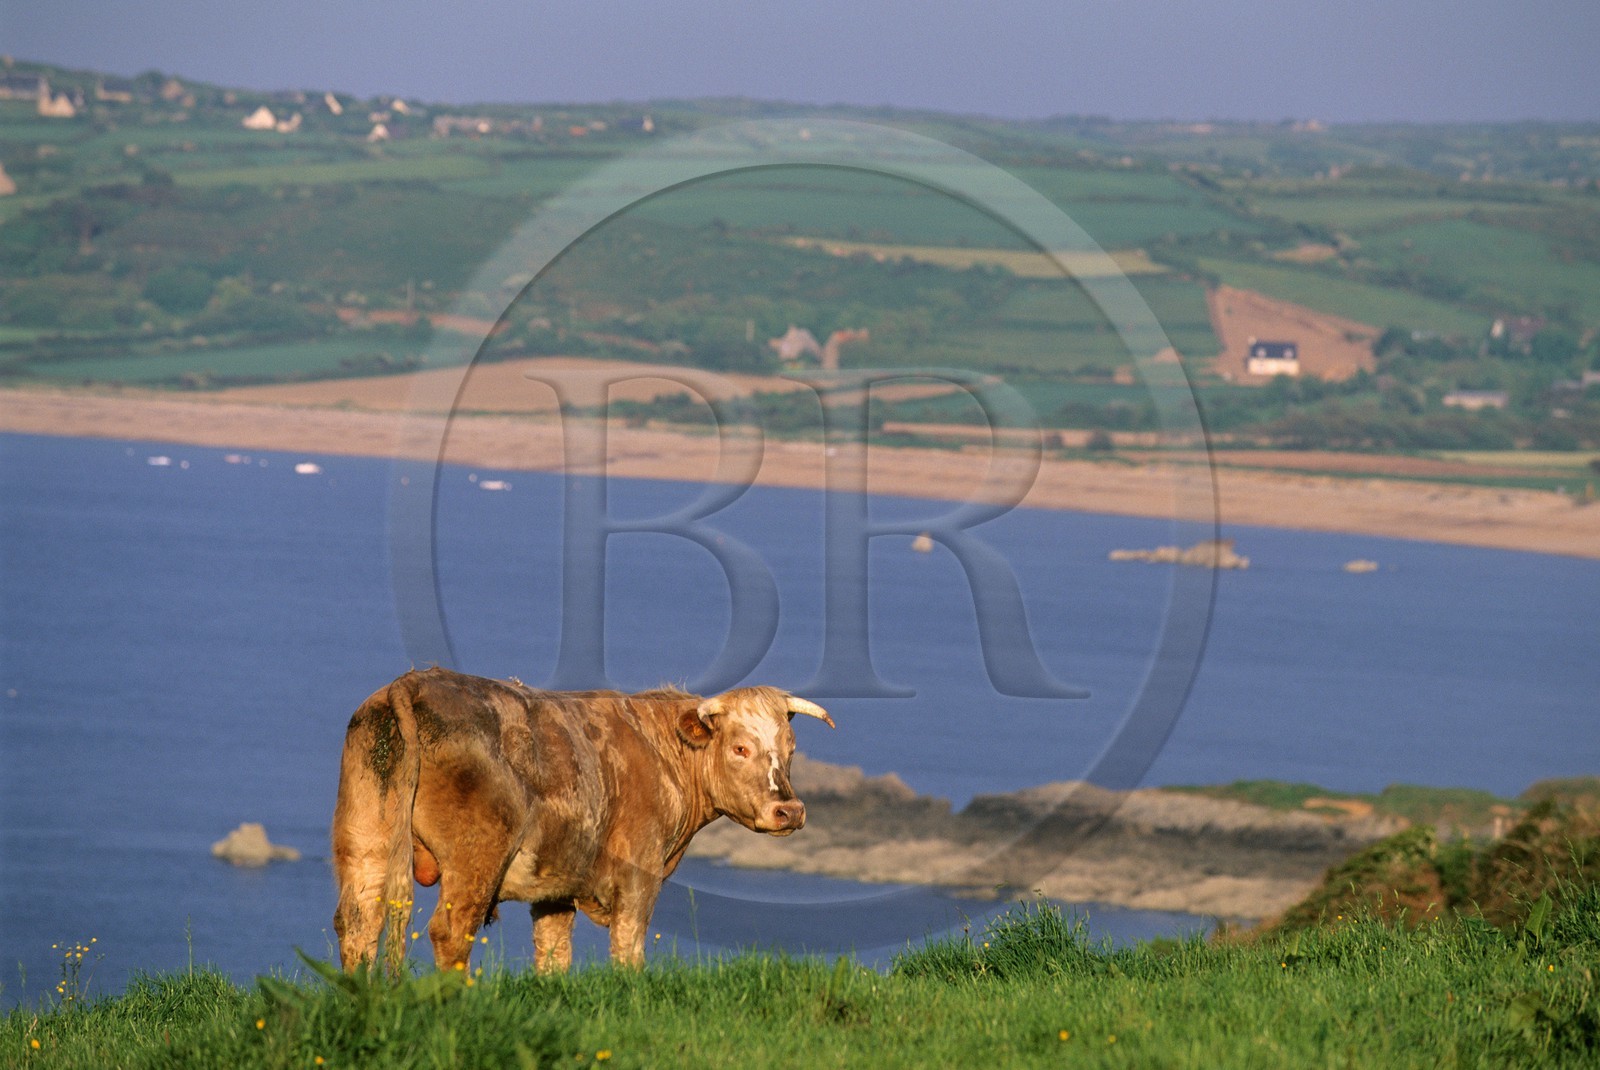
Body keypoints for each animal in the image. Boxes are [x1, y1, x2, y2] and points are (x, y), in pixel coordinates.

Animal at [330, 667, 833, 974]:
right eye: (740, 747)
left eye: (790, 748)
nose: (790, 811)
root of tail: (415, 681)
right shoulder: (638, 875)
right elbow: (628, 948)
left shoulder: (554, 887)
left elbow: (553, 956)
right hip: (476, 858)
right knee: (450, 932)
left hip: (367, 839)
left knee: (359, 922)